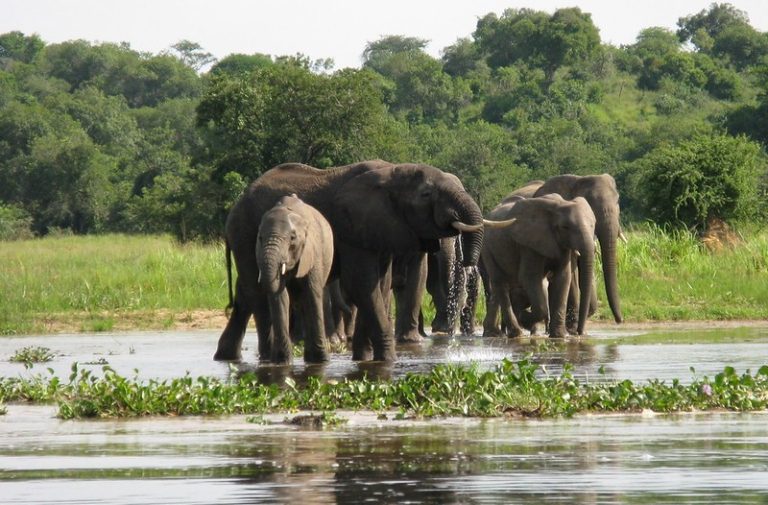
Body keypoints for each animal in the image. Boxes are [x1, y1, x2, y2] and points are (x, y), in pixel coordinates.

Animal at [255, 194, 334, 364]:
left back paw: (312, 359)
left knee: (308, 300)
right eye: (260, 238)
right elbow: (281, 298)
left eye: (292, 238)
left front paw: (322, 361)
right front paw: (282, 362)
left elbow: (312, 295)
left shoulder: (313, 253)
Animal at [481, 193, 596, 338]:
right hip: (487, 248)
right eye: (565, 227)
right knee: (500, 282)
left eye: (593, 226)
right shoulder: (528, 245)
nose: (579, 333)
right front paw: (523, 317)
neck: (559, 205)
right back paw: (516, 332)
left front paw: (559, 336)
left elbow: (562, 278)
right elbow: (529, 278)